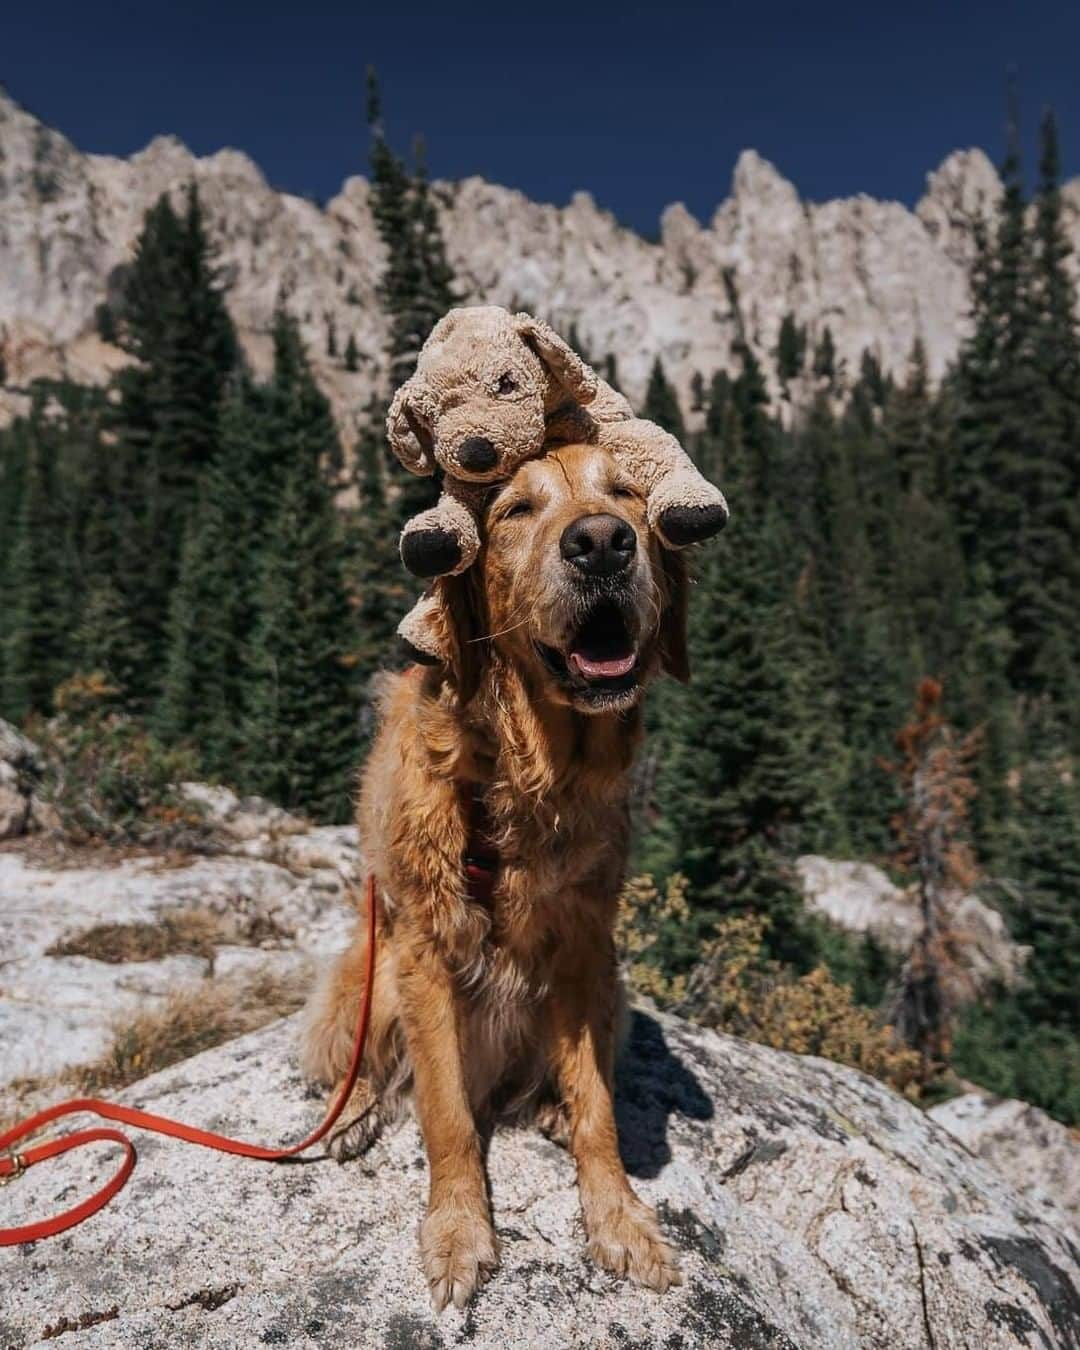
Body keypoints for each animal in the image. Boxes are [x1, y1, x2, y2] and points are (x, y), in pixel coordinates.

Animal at [303, 440, 691, 1306]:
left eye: (627, 495)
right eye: (516, 509)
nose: (601, 544)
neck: (525, 771)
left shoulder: (584, 948)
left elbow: (597, 1104)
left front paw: (618, 1216)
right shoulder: (422, 951)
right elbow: (444, 1111)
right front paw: (458, 1231)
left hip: (613, 989)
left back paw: (546, 1106)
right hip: (366, 973)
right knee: (362, 1058)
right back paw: (353, 1110)